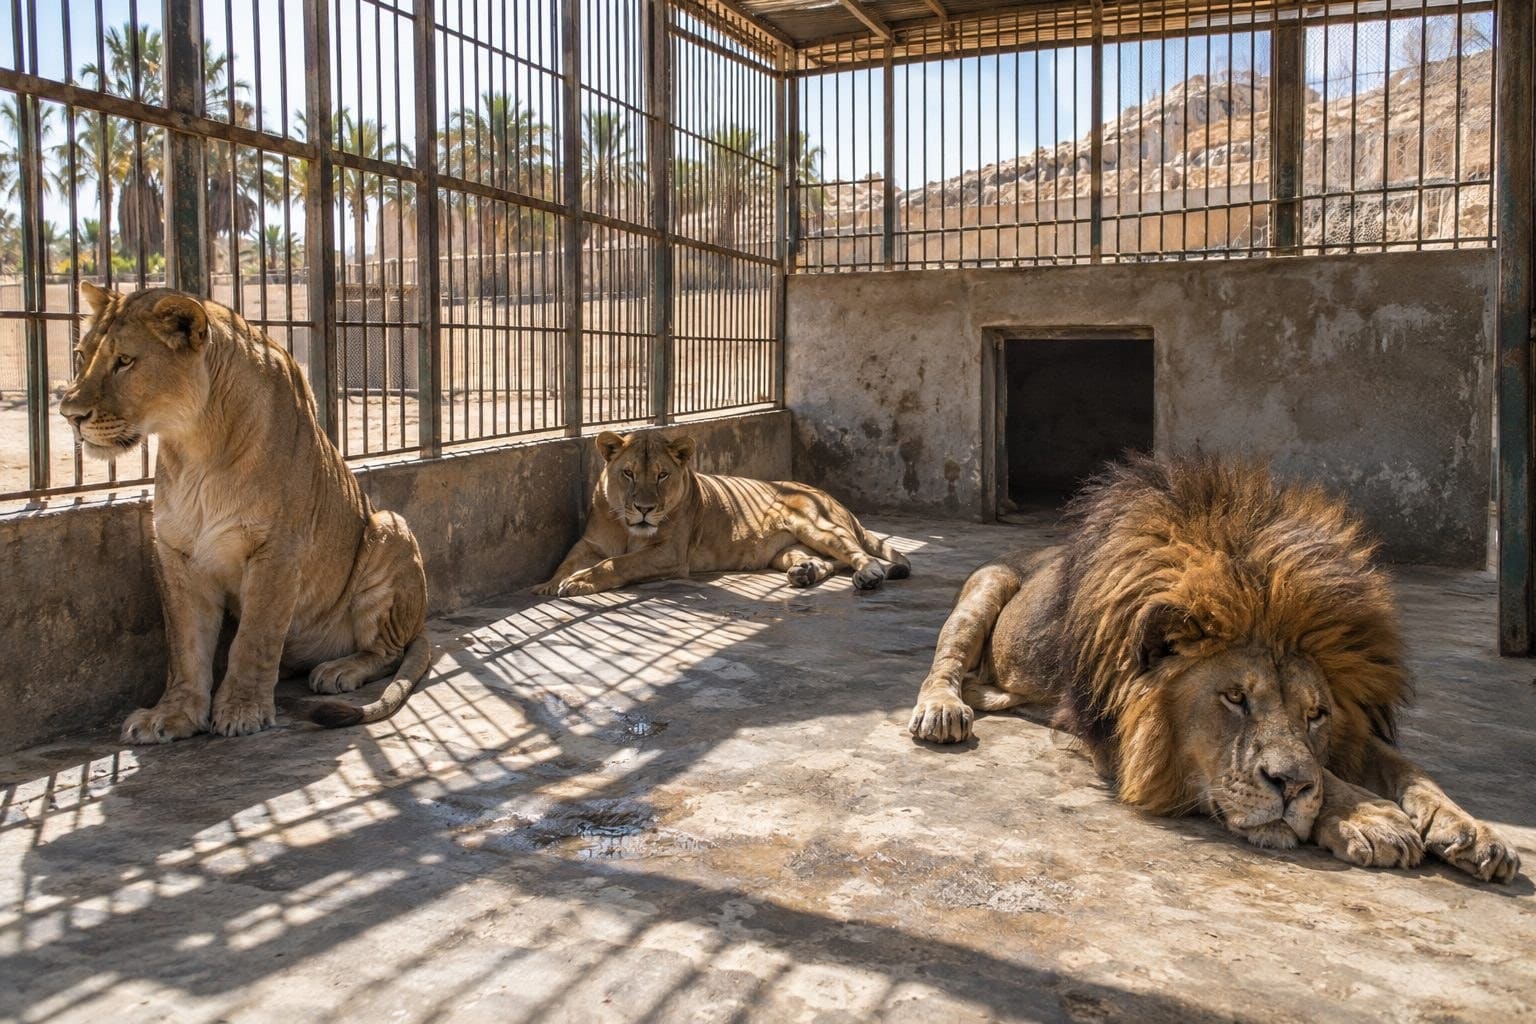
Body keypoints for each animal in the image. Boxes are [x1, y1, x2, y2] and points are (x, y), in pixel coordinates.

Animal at [60, 284, 430, 741]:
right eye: (80, 355)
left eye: (124, 361)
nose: (69, 415)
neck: (196, 446)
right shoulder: (175, 553)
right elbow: (185, 646)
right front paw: (173, 715)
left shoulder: (278, 549)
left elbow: (255, 637)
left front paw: (241, 710)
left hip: (390, 526)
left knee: (387, 651)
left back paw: (339, 669)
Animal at [534, 429, 910, 597]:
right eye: (628, 473)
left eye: (662, 475)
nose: (644, 509)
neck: (628, 528)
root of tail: (831, 498)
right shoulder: (590, 544)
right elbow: (568, 560)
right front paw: (549, 584)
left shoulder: (669, 554)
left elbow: (618, 563)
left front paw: (580, 581)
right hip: (787, 550)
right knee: (828, 560)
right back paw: (805, 573)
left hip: (819, 526)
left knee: (858, 554)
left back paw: (870, 575)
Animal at [908, 454, 1520, 882]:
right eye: (1235, 698)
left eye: (1317, 714)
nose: (1288, 788)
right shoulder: (1110, 735)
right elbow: (1332, 780)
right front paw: (1370, 816)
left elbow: (1408, 770)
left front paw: (1472, 831)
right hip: (986, 586)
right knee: (944, 667)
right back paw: (943, 712)